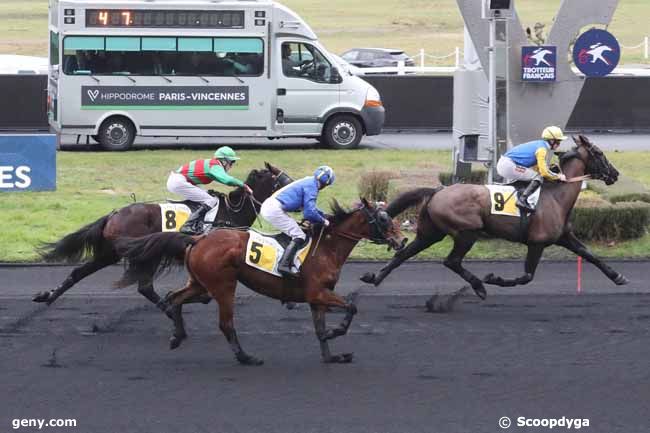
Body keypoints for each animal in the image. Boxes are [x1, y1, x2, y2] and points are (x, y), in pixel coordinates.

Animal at [33, 162, 292, 310]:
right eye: (282, 178)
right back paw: (168, 306)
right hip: (146, 254)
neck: (231, 211)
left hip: (110, 253)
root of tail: (114, 214)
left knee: (78, 272)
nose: (295, 186)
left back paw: (48, 296)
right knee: (145, 287)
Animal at [114, 199, 402, 364]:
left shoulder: (317, 298)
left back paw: (178, 335)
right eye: (383, 218)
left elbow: (320, 329)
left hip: (201, 283)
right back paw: (246, 357)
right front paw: (336, 331)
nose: (401, 240)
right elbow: (352, 307)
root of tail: (198, 238)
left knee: (174, 298)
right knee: (225, 324)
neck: (326, 247)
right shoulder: (317, 293)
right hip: (224, 286)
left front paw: (332, 356)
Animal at [360, 135, 628, 300]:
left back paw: (374, 277)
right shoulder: (537, 242)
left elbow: (590, 255)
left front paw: (618, 276)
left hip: (431, 232)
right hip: (467, 232)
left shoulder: (564, 236)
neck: (555, 196)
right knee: (451, 261)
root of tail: (438, 190)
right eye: (599, 153)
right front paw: (494, 278)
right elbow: (526, 276)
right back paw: (479, 287)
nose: (615, 174)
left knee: (403, 254)